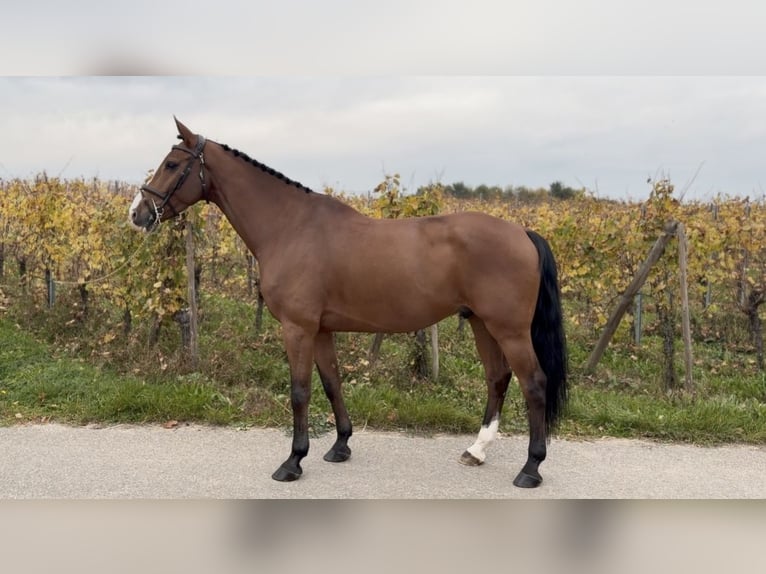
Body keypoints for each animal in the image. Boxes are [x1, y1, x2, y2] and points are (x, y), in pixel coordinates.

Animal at [129, 118, 568, 488]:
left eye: (171, 164)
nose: (138, 214)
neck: (289, 227)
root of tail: (522, 233)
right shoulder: (321, 329)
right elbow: (332, 383)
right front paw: (340, 446)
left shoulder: (298, 328)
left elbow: (300, 391)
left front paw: (293, 461)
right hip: (480, 322)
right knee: (498, 378)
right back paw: (476, 450)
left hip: (509, 329)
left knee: (534, 384)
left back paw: (531, 468)